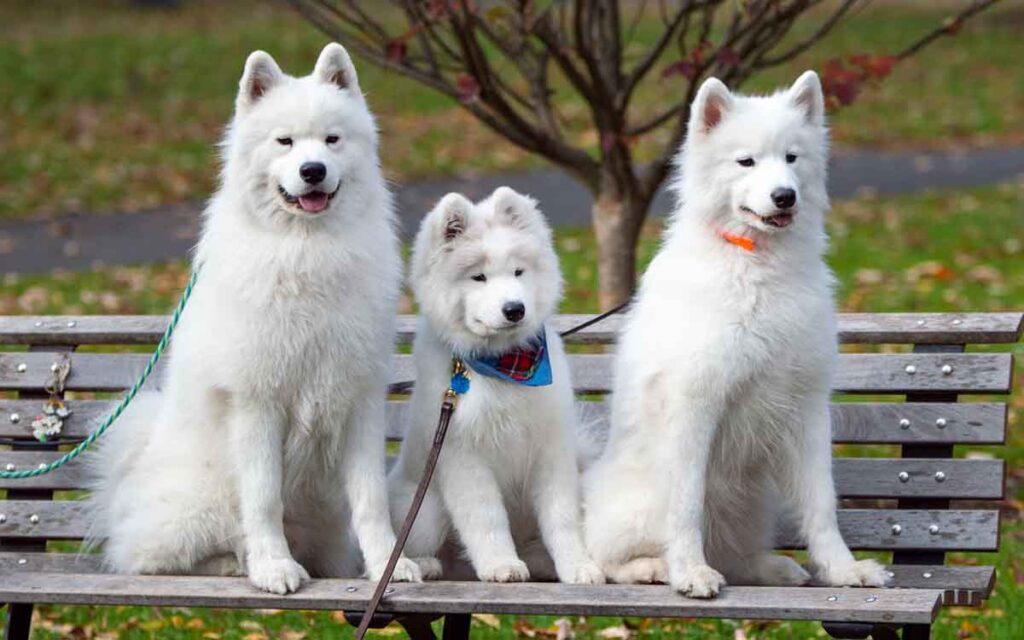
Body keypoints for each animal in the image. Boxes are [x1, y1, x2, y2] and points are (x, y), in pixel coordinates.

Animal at [84, 43, 419, 593]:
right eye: (285, 141)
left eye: (332, 139)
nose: (312, 170)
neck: (307, 252)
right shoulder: (257, 404)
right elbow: (263, 499)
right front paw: (273, 567)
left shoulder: (359, 401)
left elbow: (371, 500)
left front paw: (389, 565)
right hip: (196, 511)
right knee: (147, 556)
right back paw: (236, 562)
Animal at [387, 186, 602, 585]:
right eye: (479, 277)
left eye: (518, 271)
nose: (514, 309)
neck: (503, 365)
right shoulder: (462, 456)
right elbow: (485, 518)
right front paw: (502, 564)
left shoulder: (551, 449)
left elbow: (562, 517)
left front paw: (578, 566)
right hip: (427, 509)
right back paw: (427, 564)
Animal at [585, 72, 888, 598]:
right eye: (746, 161)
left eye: (792, 158)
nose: (785, 196)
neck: (756, 263)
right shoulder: (693, 407)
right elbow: (685, 506)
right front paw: (690, 572)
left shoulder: (808, 408)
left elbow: (821, 503)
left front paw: (843, 570)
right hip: (642, 504)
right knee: (605, 557)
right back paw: (655, 567)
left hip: (751, 504)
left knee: (736, 554)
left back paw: (773, 568)